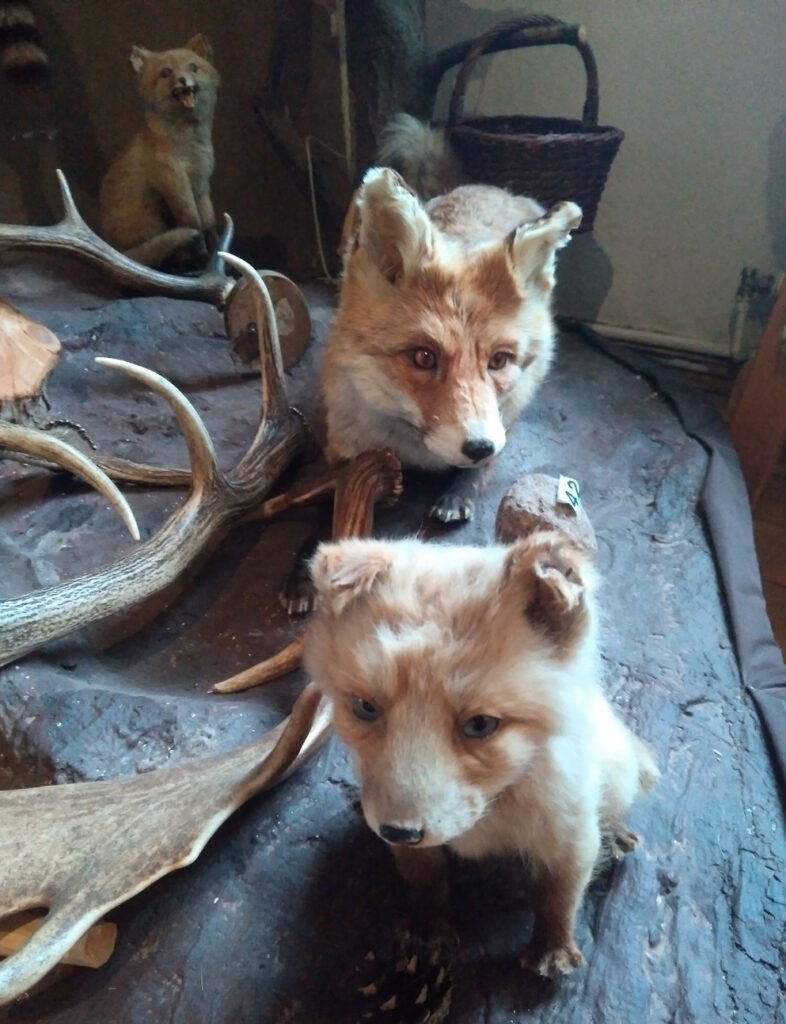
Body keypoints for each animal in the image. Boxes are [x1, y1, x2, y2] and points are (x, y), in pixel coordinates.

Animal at [99, 34, 219, 270]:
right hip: (151, 220)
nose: (182, 80)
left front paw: (219, 250)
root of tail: (112, 248)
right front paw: (203, 255)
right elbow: (193, 223)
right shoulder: (173, 180)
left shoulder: (202, 183)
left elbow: (209, 222)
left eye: (193, 67)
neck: (191, 147)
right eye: (166, 73)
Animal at [304, 531, 659, 978]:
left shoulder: (570, 834)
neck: (492, 814)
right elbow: (425, 881)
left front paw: (552, 949)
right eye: (365, 707)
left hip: (617, 769)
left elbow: (559, 898)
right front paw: (429, 929)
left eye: (480, 725)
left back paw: (618, 831)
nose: (398, 831)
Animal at [321, 166, 581, 522]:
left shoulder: (503, 422)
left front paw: (460, 492)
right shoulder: (343, 442)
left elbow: (482, 468)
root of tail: (492, 188)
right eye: (424, 357)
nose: (480, 447)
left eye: (499, 360)